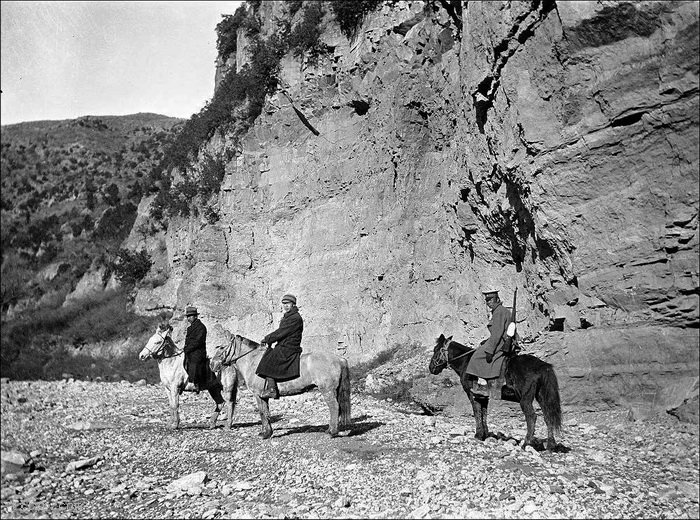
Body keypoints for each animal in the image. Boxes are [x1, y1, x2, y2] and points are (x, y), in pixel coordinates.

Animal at [206, 334, 350, 438]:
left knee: (334, 407)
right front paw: (267, 432)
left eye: (221, 347)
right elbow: (266, 412)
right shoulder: (263, 397)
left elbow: (262, 412)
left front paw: (265, 434)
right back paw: (331, 429)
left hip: (327, 390)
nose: (212, 364)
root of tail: (339, 359)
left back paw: (332, 432)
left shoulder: (258, 395)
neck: (252, 361)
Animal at [426, 336, 564, 448]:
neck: (466, 361)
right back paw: (551, 444)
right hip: (541, 397)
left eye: (436, 349)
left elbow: (477, 412)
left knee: (532, 416)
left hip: (525, 399)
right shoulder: (483, 396)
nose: (431, 368)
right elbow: (484, 413)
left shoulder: (472, 395)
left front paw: (478, 435)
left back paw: (526, 443)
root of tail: (543, 366)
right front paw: (485, 434)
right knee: (548, 416)